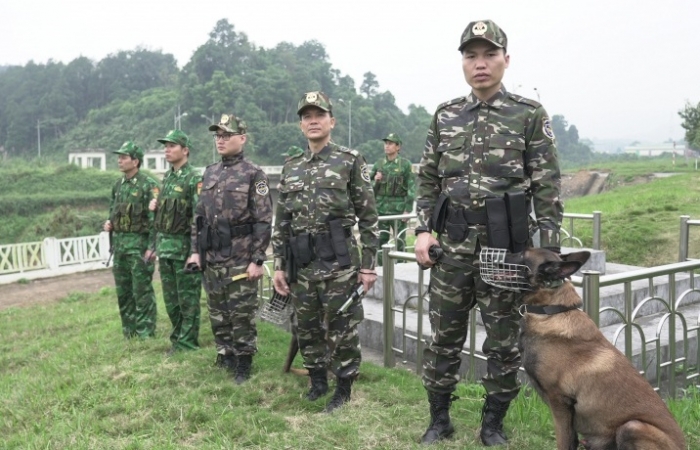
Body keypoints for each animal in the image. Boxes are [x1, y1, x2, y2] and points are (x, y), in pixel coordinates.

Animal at [512, 248, 688, 450]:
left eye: (521, 255)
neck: (550, 311)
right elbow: (571, 440)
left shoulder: (560, 402)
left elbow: (563, 441)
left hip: (632, 426)